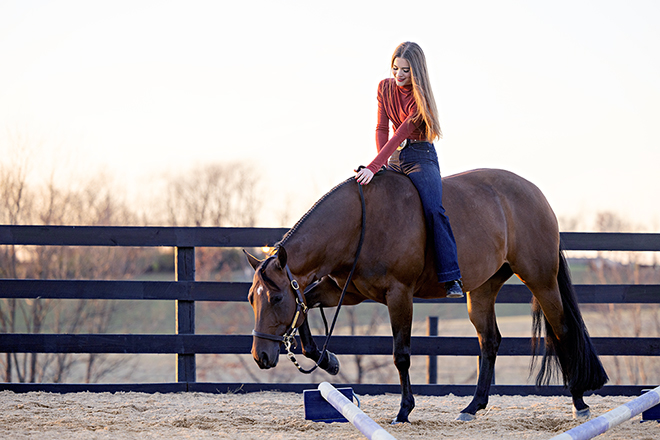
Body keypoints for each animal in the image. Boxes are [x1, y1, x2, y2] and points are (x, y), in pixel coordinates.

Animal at [245, 168, 604, 422]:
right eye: (252, 299)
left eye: (275, 299)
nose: (260, 356)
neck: (361, 222)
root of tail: (535, 194)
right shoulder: (346, 291)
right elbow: (305, 305)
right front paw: (328, 360)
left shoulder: (398, 294)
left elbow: (401, 355)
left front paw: (404, 411)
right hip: (482, 289)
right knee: (489, 341)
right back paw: (473, 407)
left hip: (541, 280)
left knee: (563, 330)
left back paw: (578, 401)